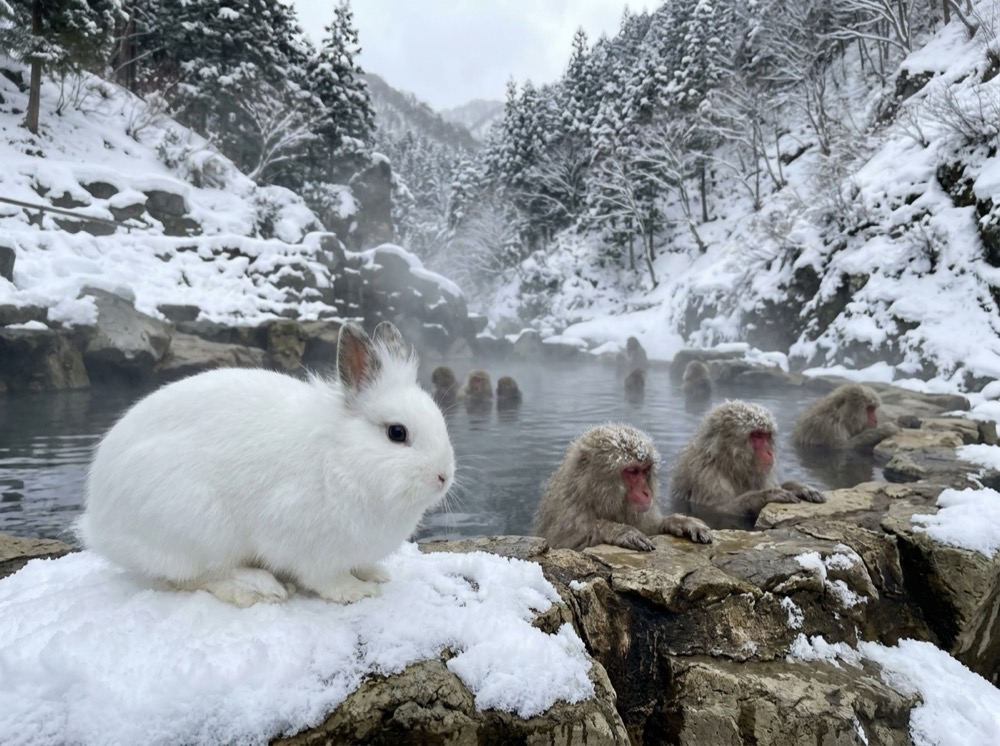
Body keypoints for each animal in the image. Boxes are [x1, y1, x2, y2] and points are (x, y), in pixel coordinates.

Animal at [534, 423, 713, 551]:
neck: (592, 499)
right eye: (633, 471)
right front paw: (619, 530)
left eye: (645, 470)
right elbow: (566, 546)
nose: (647, 492)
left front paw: (678, 522)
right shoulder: (571, 514)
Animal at [670, 400, 825, 520]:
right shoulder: (705, 476)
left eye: (766, 435)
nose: (769, 452)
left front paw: (797, 487)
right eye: (756, 435)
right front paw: (767, 495)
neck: (728, 465)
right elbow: (717, 509)